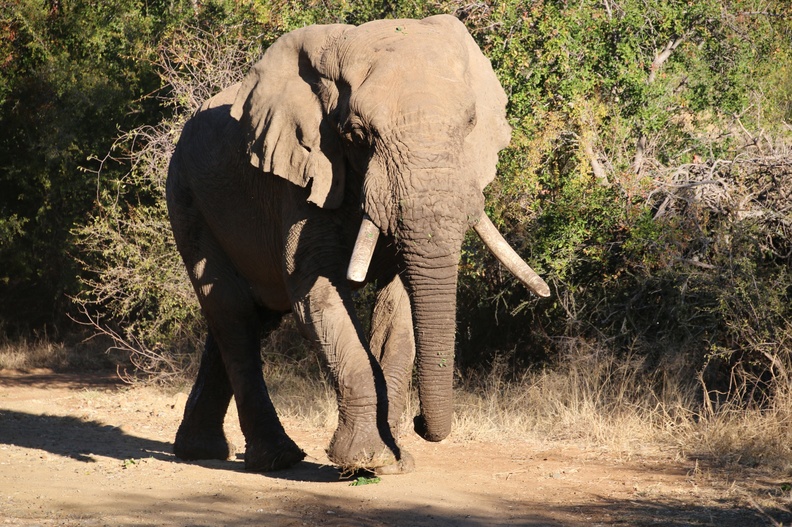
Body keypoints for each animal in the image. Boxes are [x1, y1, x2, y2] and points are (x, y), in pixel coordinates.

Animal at [166, 14, 550, 475]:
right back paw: (275, 458)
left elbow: (399, 306)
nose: (421, 423)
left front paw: (395, 462)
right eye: (358, 134)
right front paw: (367, 460)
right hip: (186, 199)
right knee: (233, 314)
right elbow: (316, 292)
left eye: (471, 124)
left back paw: (198, 451)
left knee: (252, 315)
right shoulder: (301, 178)